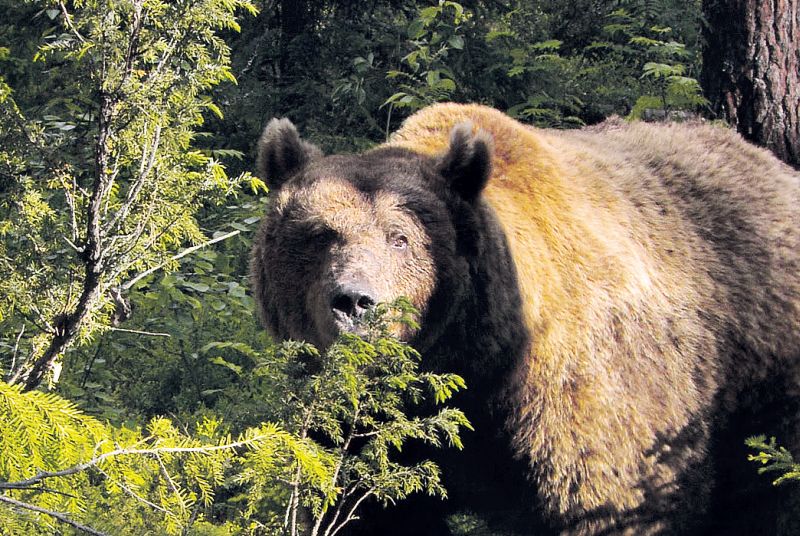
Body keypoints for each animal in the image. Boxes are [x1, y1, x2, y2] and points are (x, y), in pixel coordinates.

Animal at [250, 102, 800, 532]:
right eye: (320, 234)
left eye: (399, 237)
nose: (354, 302)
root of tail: (768, 161)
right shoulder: (369, 421)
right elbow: (368, 503)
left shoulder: (581, 393)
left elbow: (614, 500)